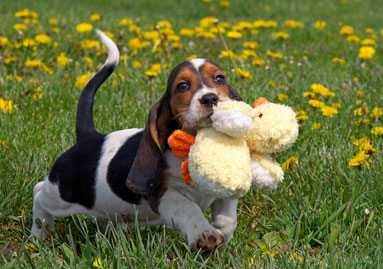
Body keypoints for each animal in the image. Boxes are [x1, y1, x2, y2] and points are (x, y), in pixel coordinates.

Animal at [32, 29, 243, 251]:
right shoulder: (163, 195)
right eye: (183, 85)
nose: (210, 98)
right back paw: (39, 236)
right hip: (60, 193)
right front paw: (203, 233)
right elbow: (188, 208)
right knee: (39, 195)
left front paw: (221, 235)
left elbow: (227, 217)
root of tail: (88, 136)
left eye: (219, 78)